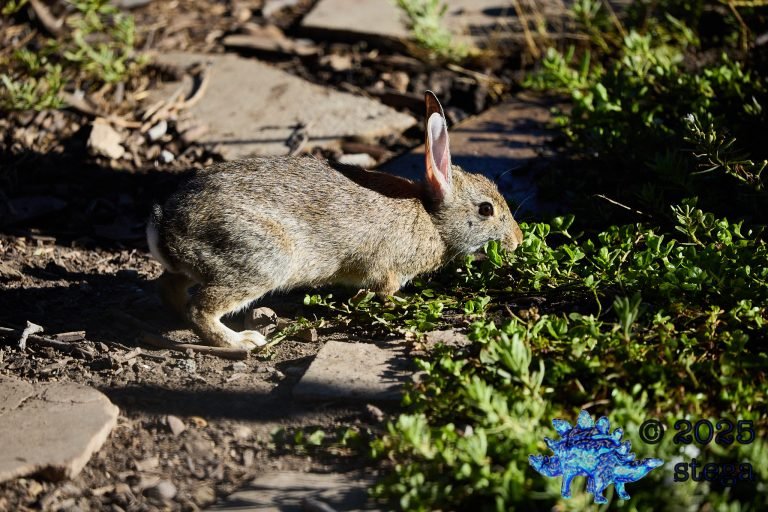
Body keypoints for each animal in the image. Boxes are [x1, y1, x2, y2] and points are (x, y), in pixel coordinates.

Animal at [146, 91, 523, 349]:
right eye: (486, 210)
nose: (518, 241)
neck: (432, 219)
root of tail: (166, 226)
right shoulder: (387, 271)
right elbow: (383, 292)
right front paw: (405, 304)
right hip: (260, 260)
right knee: (201, 309)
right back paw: (243, 341)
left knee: (169, 287)